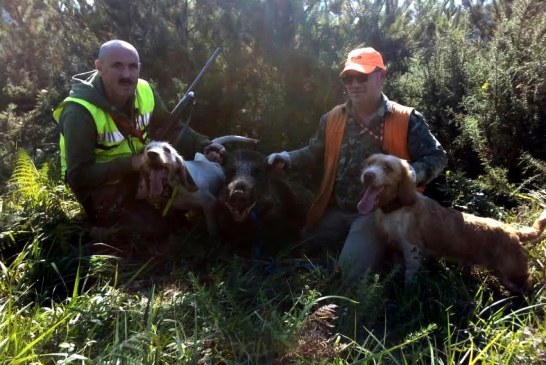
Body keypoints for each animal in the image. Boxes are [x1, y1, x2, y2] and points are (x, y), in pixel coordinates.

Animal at [356, 152, 544, 292]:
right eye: (369, 164)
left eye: (387, 168)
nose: (367, 175)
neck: (397, 208)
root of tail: (513, 231)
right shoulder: (395, 248)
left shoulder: (412, 250)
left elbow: (409, 278)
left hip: (514, 274)